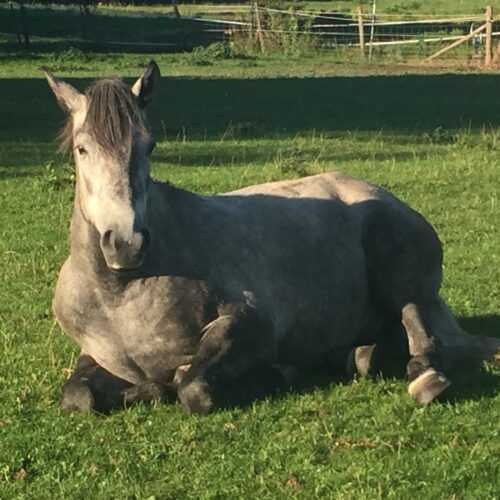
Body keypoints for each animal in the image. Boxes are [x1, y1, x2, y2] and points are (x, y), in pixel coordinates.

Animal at [45, 62, 498, 414]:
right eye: (82, 149)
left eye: (150, 145)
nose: (125, 242)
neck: (121, 294)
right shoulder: (96, 356)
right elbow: (78, 396)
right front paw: (147, 390)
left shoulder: (251, 324)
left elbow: (192, 386)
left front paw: (275, 373)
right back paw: (358, 356)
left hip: (396, 264)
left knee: (420, 326)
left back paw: (424, 376)